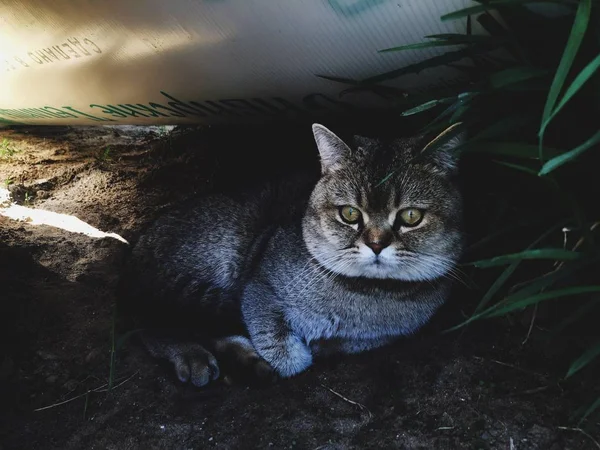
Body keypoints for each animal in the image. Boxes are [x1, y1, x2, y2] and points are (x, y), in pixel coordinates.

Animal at [122, 123, 466, 386]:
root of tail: (139, 244)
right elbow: (283, 347)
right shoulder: (258, 286)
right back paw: (193, 356)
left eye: (410, 216)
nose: (377, 244)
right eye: (349, 214)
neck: (364, 297)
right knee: (149, 320)